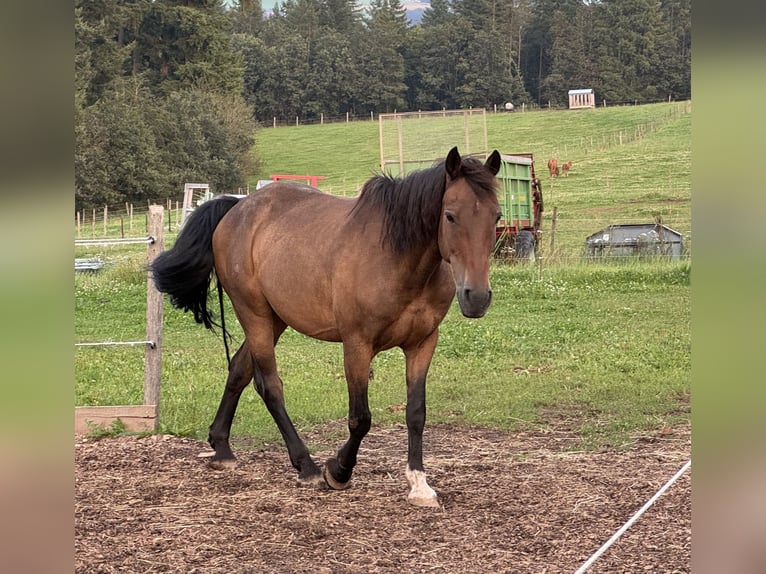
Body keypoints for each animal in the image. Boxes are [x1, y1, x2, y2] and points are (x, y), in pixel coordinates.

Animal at [153, 148, 508, 508]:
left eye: (496, 217)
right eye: (450, 216)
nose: (477, 296)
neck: (398, 259)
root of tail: (238, 208)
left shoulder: (422, 343)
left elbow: (416, 412)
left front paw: (419, 483)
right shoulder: (357, 345)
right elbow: (360, 418)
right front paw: (338, 470)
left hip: (275, 319)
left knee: (239, 369)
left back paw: (222, 447)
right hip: (254, 315)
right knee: (269, 386)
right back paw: (306, 465)